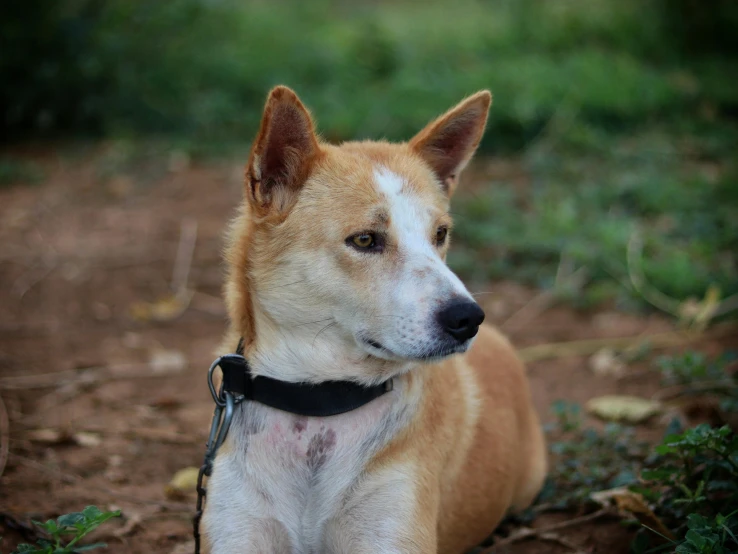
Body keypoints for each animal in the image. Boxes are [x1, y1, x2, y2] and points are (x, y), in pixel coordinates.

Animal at [201, 86, 548, 552]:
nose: (468, 318)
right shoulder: (236, 531)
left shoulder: (391, 533)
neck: (318, 408)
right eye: (365, 239)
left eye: (440, 234)